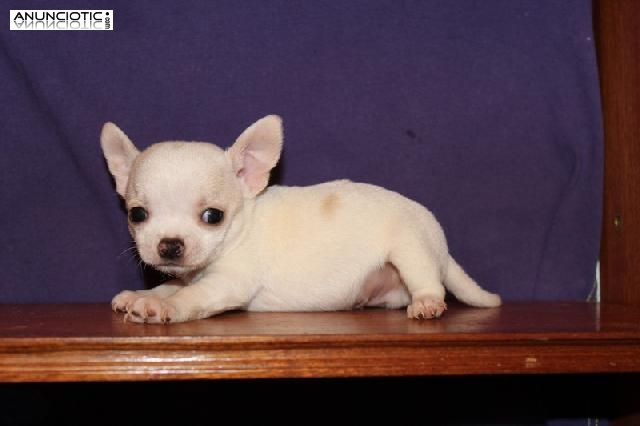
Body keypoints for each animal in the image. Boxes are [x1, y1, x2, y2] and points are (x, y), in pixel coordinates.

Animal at [101, 115, 500, 322]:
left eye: (212, 216)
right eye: (137, 214)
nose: (170, 245)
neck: (244, 221)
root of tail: (441, 249)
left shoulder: (227, 283)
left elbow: (191, 295)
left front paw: (162, 306)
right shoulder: (192, 274)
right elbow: (172, 284)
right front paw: (142, 294)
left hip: (411, 249)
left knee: (428, 282)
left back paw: (428, 303)